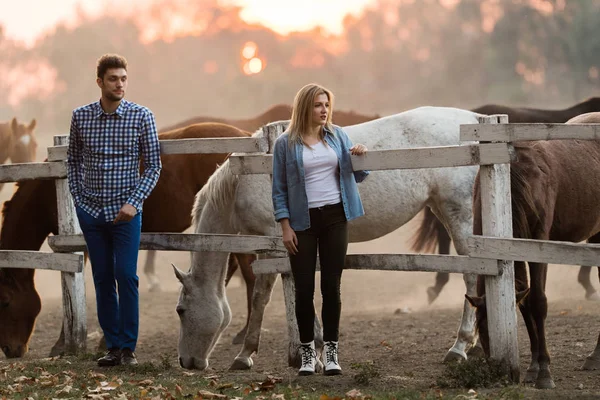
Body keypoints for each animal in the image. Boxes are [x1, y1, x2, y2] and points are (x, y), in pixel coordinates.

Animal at [0, 122, 255, 360]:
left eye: (5, 302)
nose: (9, 349)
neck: (50, 189)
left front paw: (65, 344)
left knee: (248, 271)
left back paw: (243, 334)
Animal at [173, 107, 488, 372]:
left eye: (180, 311)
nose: (186, 362)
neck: (246, 178)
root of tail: (473, 119)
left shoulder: (273, 246)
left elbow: (262, 296)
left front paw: (246, 354)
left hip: (457, 212)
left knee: (472, 274)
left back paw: (460, 346)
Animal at [466, 111, 600, 390]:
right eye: (481, 328)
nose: (494, 371)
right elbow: (525, 302)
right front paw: (533, 367)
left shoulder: (538, 243)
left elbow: (538, 302)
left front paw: (545, 371)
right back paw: (596, 356)